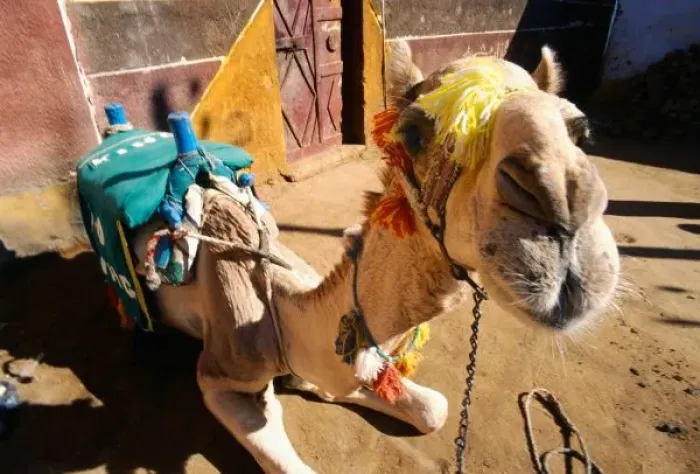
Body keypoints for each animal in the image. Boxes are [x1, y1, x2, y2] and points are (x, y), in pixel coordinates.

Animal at [120, 42, 620, 473]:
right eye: (414, 133)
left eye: (580, 130)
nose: (564, 208)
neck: (284, 314)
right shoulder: (219, 373)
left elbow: (433, 407)